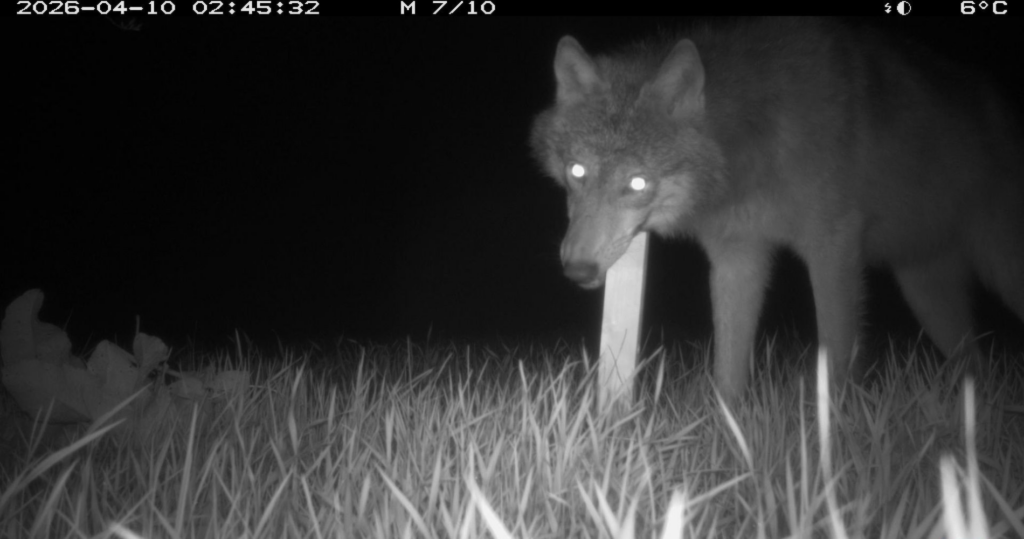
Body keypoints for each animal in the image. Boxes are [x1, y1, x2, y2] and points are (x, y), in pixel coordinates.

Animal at [530, 18, 1024, 401]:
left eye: (637, 183)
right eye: (576, 171)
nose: (577, 269)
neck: (756, 142)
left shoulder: (833, 247)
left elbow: (837, 350)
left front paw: (836, 432)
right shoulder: (737, 258)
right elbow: (728, 371)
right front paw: (726, 440)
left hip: (997, 270)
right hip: (927, 295)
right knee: (977, 364)